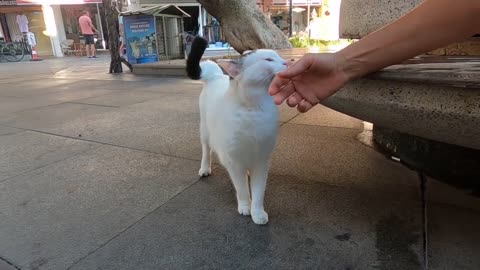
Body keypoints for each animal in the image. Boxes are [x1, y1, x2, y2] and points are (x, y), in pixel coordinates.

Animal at [186, 37, 286, 225]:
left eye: (278, 56)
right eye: (269, 59)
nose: (287, 62)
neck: (254, 109)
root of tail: (217, 76)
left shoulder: (261, 161)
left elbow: (259, 191)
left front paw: (257, 212)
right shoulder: (234, 161)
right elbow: (242, 189)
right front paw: (246, 207)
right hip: (205, 132)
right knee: (206, 150)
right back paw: (204, 168)